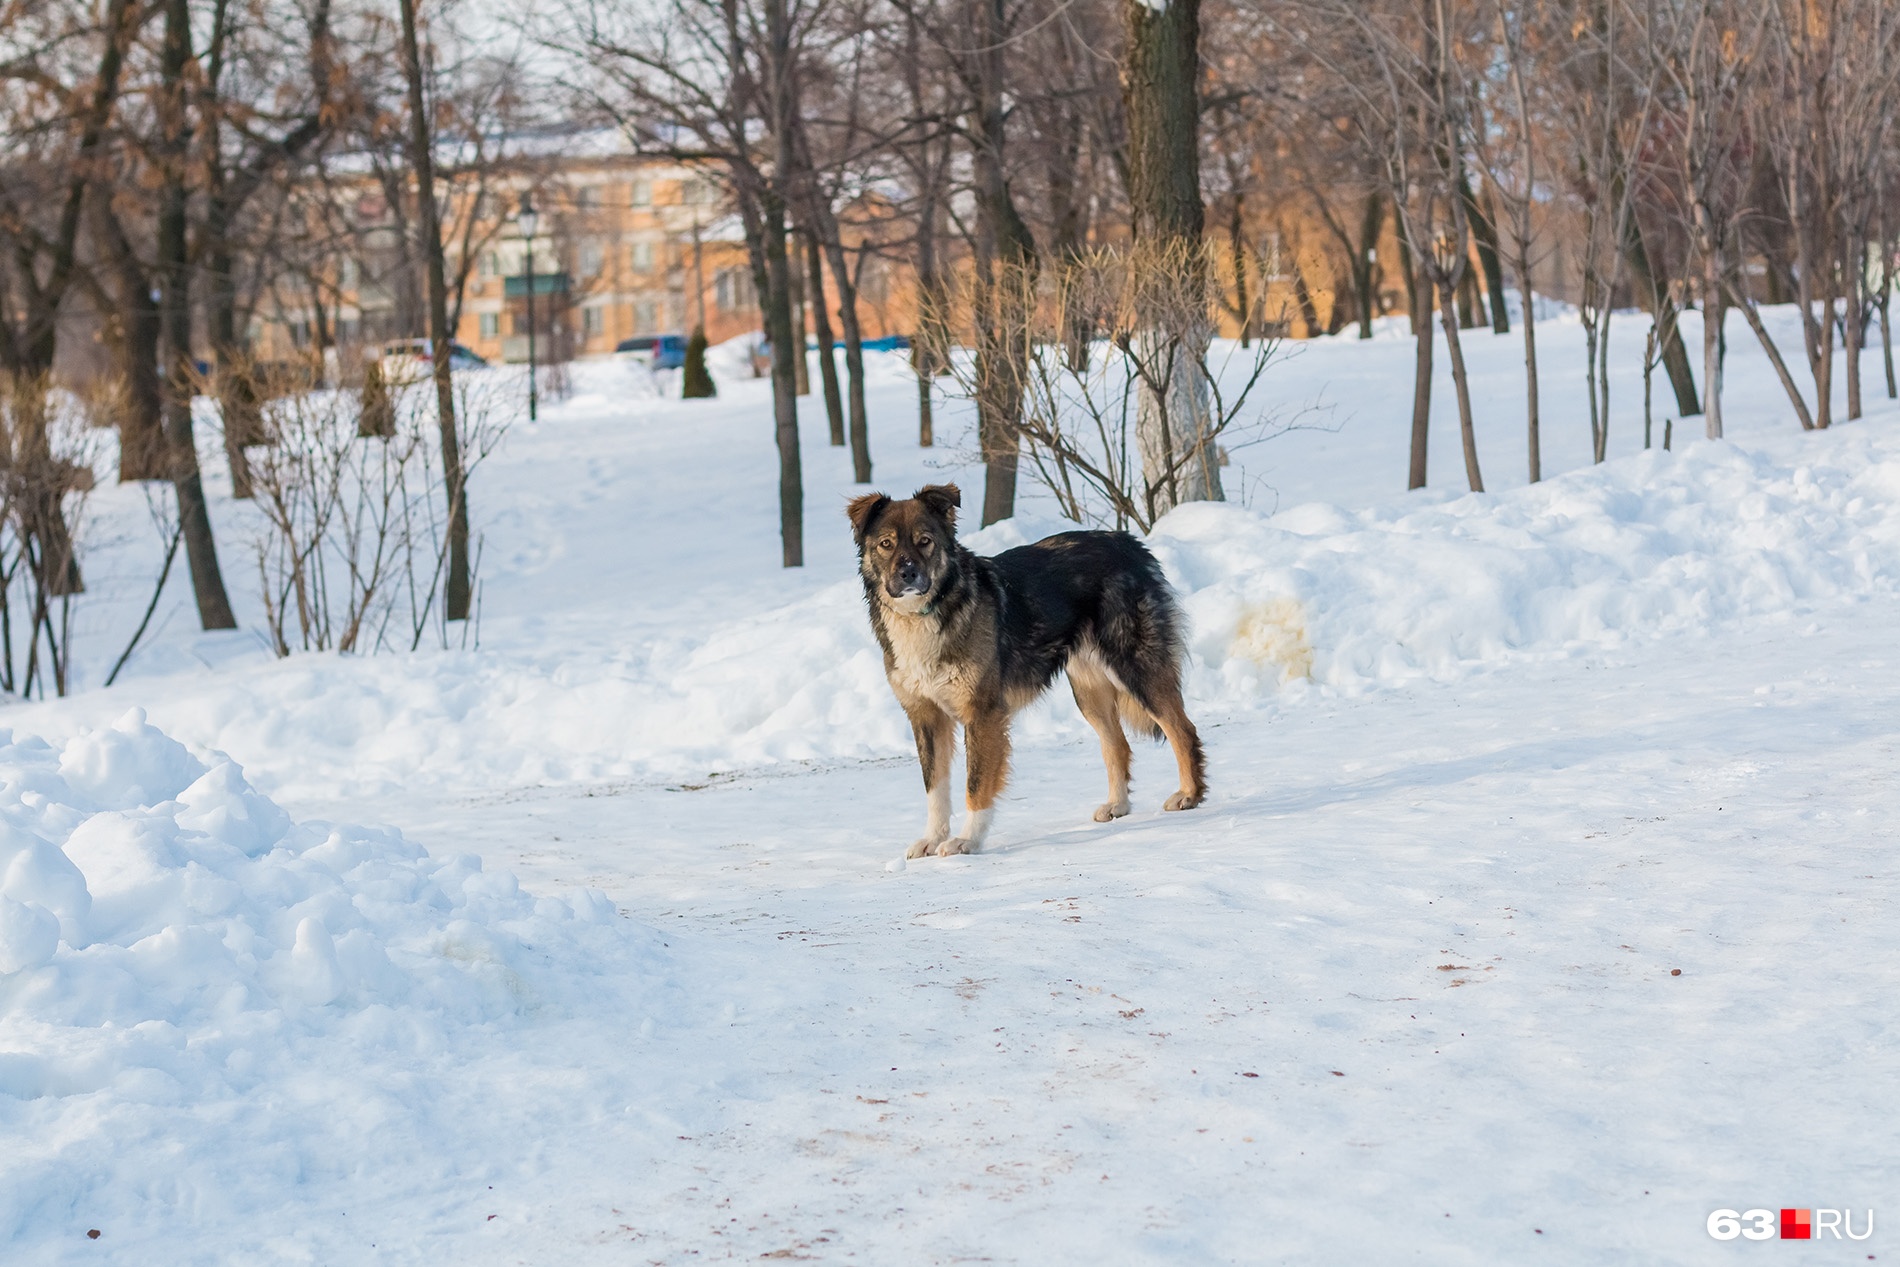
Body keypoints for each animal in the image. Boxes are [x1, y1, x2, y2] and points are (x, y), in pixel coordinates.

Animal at [847, 480, 1200, 858]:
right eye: (886, 544)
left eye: (924, 540)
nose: (908, 573)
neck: (926, 613)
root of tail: (1129, 543)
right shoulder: (926, 717)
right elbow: (935, 788)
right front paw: (933, 837)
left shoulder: (983, 713)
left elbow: (976, 783)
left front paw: (967, 840)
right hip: (1088, 690)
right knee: (1117, 744)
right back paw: (1118, 805)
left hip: (1135, 667)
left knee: (1182, 729)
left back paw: (1190, 795)